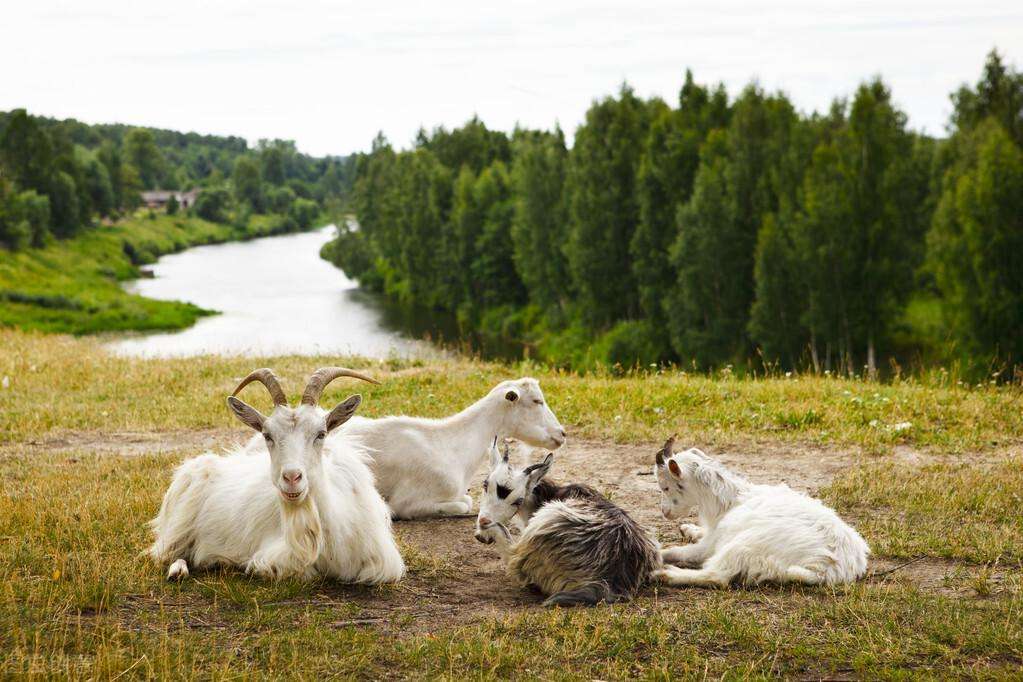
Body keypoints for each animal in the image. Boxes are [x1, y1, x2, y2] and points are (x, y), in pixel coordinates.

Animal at [145, 366, 407, 584]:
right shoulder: (272, 556)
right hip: (178, 524)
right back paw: (180, 570)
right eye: (267, 435)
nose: (292, 478)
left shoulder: (385, 563)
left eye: (321, 433)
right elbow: (297, 571)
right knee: (170, 552)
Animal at [472, 443, 662, 609]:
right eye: (485, 485)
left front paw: (484, 532)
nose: (484, 521)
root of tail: (609, 583)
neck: (546, 496)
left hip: (545, 523)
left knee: (515, 562)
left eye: (517, 501)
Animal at [650, 439, 867, 588]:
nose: (664, 512)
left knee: (718, 576)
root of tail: (831, 568)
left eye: (665, 487)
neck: (731, 501)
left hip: (743, 546)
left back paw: (666, 575)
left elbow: (677, 552)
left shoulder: (711, 544)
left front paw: (659, 556)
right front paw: (688, 529)